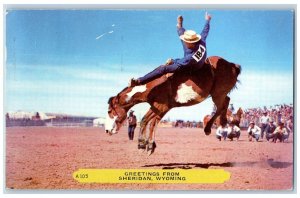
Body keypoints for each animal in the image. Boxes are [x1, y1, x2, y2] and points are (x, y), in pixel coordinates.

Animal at [105, 55, 241, 155]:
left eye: (109, 111)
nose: (107, 130)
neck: (155, 85)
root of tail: (233, 65)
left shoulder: (161, 106)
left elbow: (146, 121)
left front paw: (143, 145)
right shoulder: (162, 107)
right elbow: (152, 123)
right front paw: (149, 145)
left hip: (217, 94)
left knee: (222, 105)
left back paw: (210, 127)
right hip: (218, 94)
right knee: (226, 102)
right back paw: (222, 123)